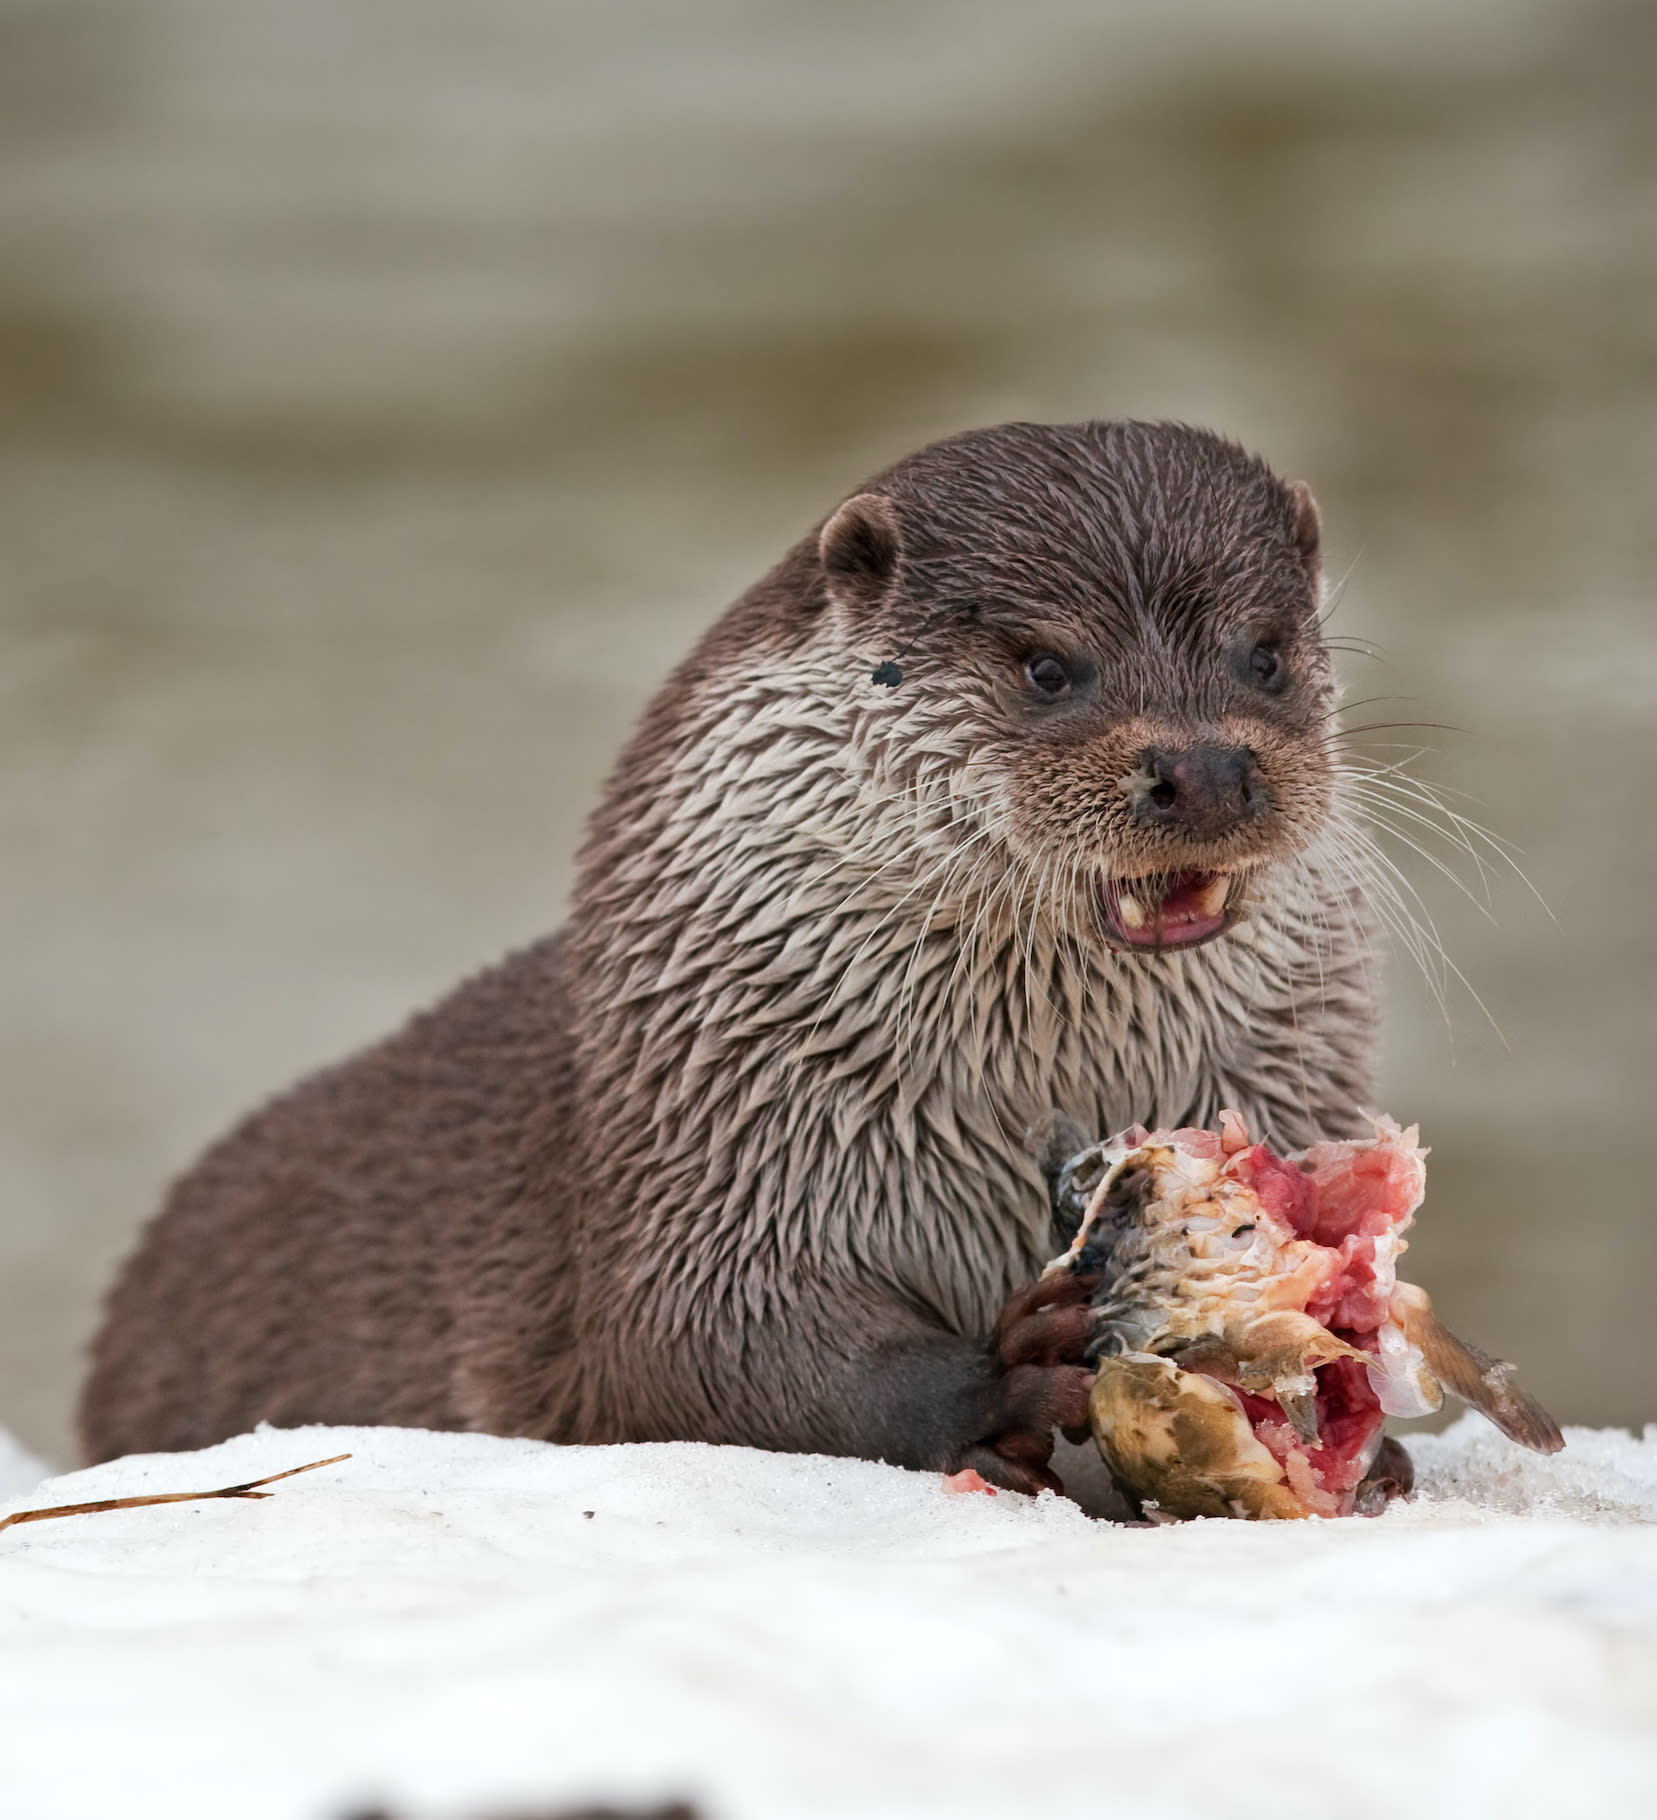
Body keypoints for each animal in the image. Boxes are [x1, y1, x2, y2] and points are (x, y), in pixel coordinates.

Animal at [77, 422, 1383, 1492]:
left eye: (1264, 654)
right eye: (1046, 664)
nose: (1203, 767)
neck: (1034, 1095)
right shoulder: (718, 1155)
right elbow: (700, 1344)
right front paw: (1003, 1382)